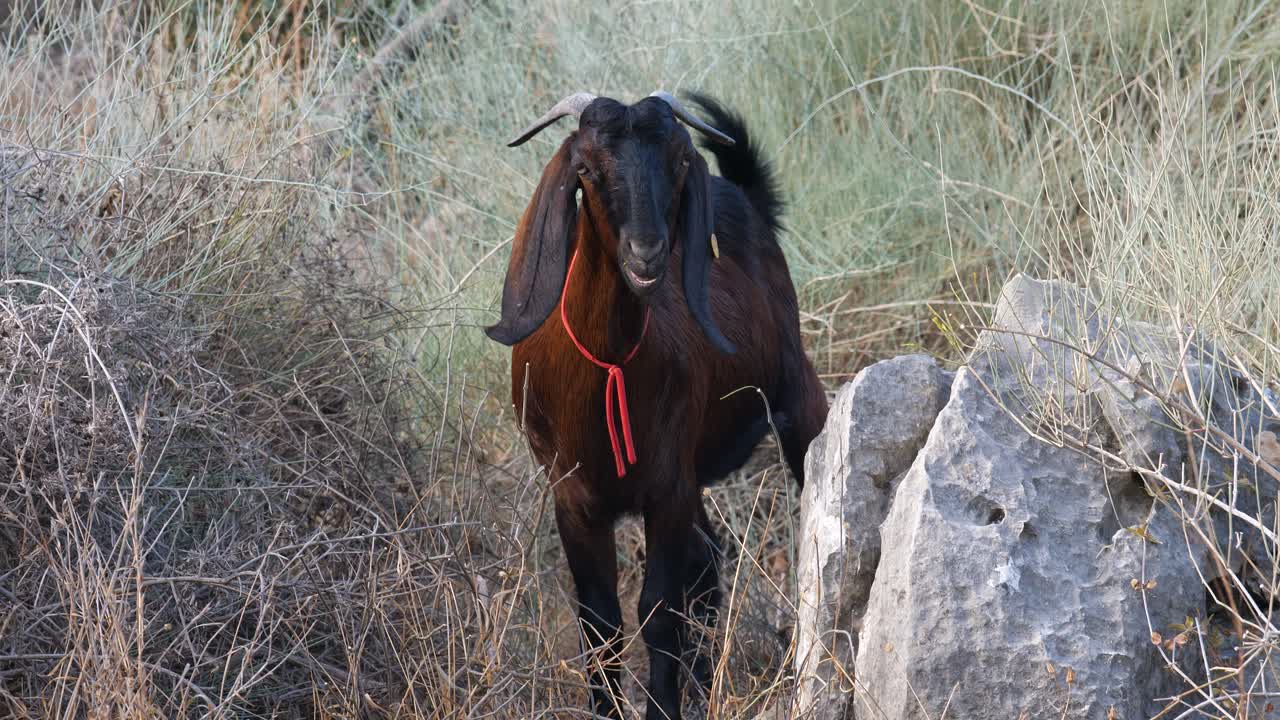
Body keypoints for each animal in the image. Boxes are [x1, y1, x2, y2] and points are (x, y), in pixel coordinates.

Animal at [486, 91, 828, 720]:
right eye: (586, 169)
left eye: (677, 161)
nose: (646, 257)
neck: (610, 366)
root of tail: (742, 195)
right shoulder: (574, 498)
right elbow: (600, 623)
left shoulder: (666, 487)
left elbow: (658, 610)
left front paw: (663, 706)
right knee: (708, 558)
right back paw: (702, 681)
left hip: (797, 397)